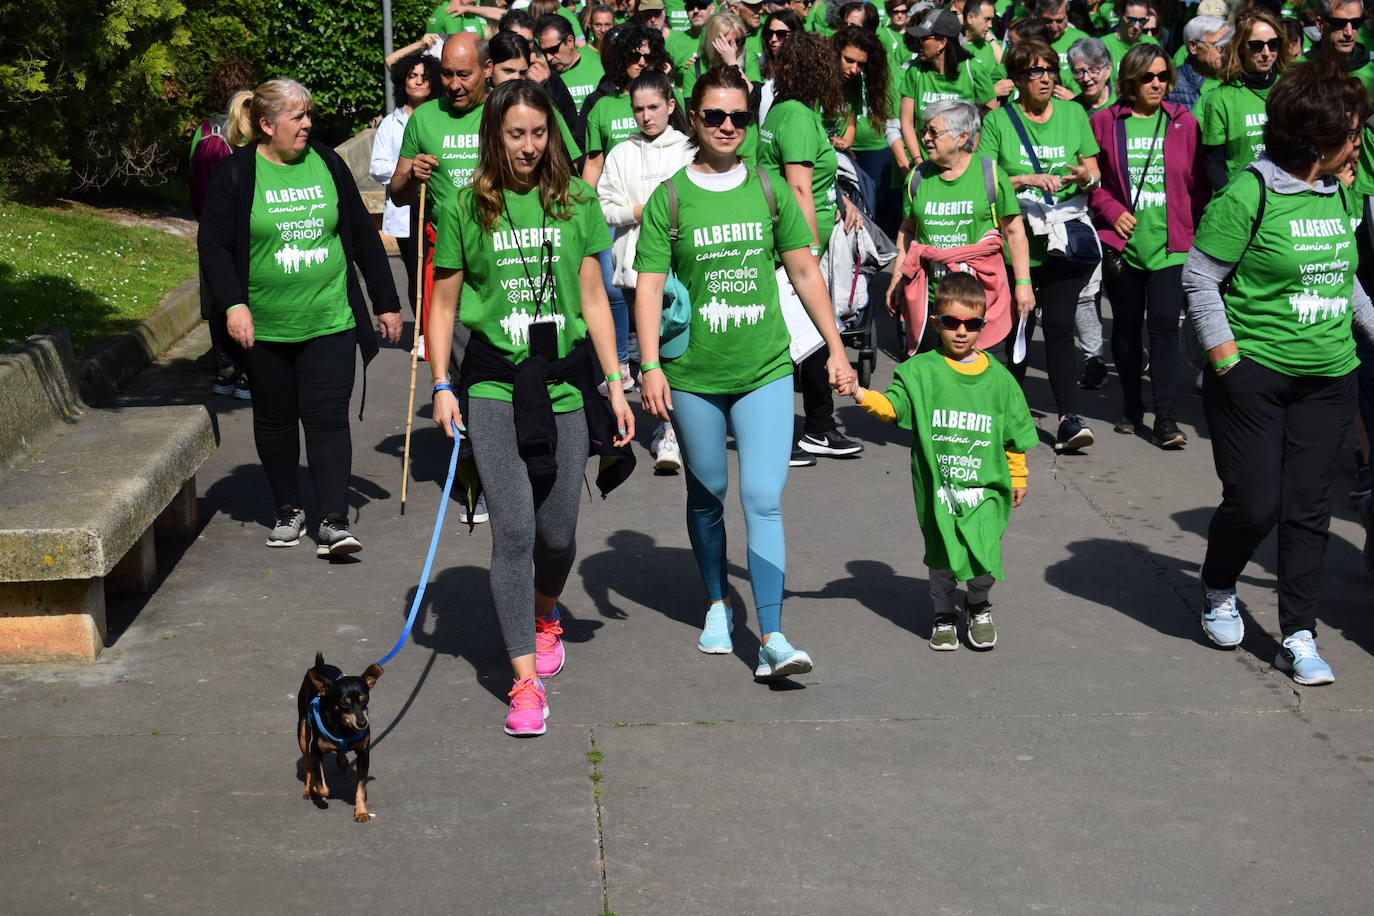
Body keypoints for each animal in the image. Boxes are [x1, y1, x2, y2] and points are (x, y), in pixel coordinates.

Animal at [298, 650, 384, 823]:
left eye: (365, 700)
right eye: (345, 704)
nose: (363, 722)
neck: (344, 729)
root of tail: (319, 665)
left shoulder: (363, 754)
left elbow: (360, 788)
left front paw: (361, 811)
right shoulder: (316, 751)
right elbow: (321, 783)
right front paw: (317, 789)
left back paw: (342, 759)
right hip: (303, 733)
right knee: (308, 764)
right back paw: (309, 789)